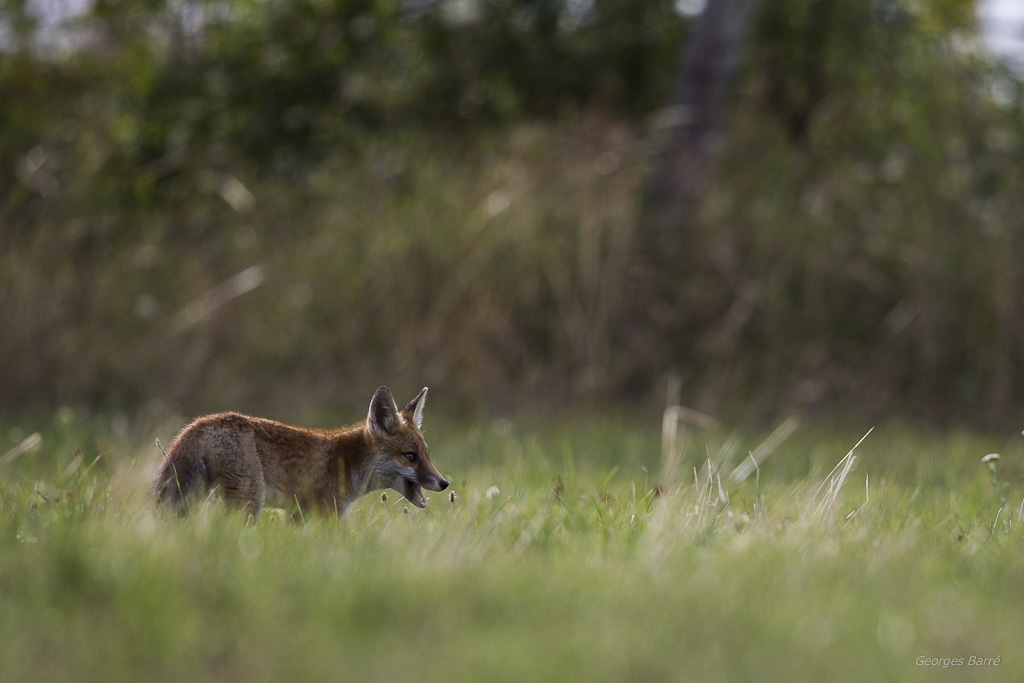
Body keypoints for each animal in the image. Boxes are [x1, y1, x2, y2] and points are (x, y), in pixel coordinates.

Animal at [149, 387, 446, 520]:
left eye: (427, 454)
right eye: (411, 456)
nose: (444, 483)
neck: (348, 463)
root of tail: (199, 424)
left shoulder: (298, 516)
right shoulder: (326, 516)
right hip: (248, 504)